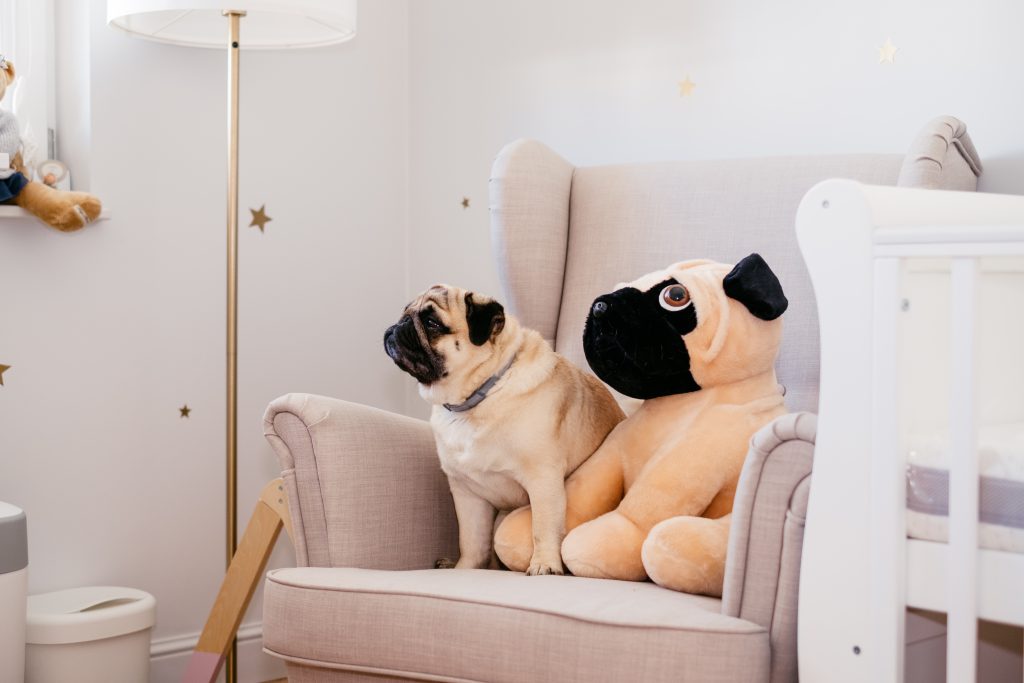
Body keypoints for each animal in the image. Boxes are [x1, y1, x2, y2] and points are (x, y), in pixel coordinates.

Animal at [385, 286, 622, 573]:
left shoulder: (543, 480)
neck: (477, 398)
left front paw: (545, 564)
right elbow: (471, 542)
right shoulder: (467, 495)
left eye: (432, 323)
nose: (400, 325)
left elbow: (543, 527)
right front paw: (463, 570)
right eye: (405, 312)